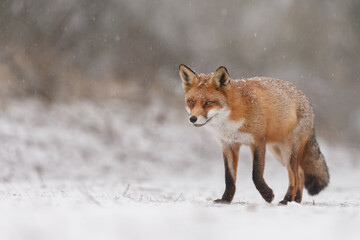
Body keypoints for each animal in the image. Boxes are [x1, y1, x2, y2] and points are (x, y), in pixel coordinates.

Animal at [179, 64, 330, 205]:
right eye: (191, 102)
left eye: (208, 103)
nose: (192, 119)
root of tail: (305, 98)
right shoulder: (228, 144)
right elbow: (229, 178)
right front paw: (226, 199)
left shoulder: (257, 142)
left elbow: (256, 174)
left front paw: (267, 195)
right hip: (279, 153)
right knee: (300, 173)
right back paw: (296, 200)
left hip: (289, 151)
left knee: (294, 176)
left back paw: (287, 200)